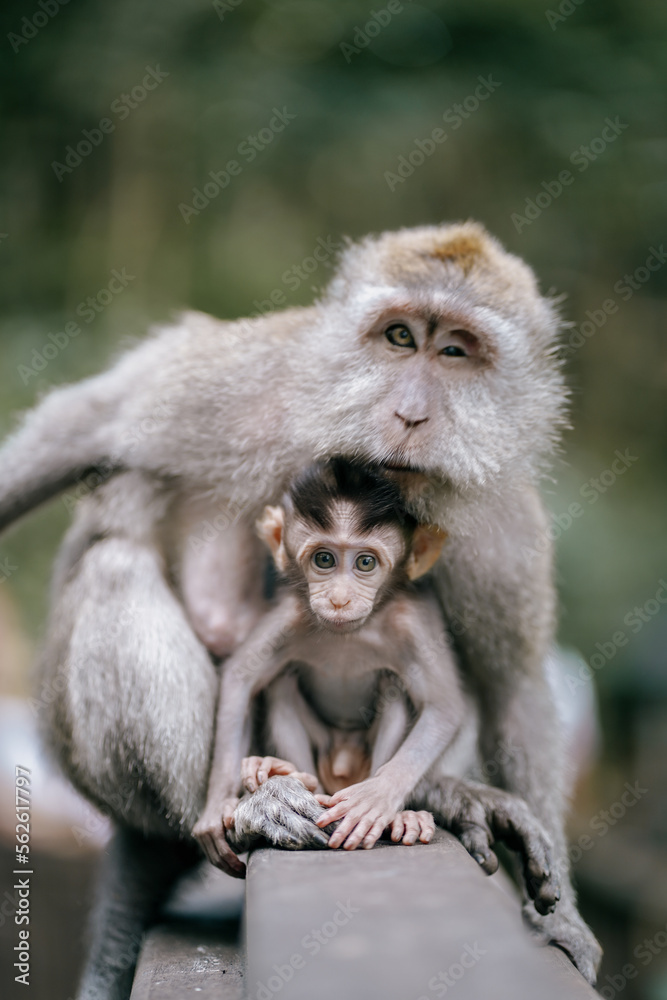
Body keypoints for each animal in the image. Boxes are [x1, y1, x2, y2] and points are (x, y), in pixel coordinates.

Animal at [193, 460, 464, 876]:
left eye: (365, 562)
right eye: (324, 559)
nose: (339, 599)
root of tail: (341, 771)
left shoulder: (411, 621)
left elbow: (444, 707)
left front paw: (377, 798)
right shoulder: (290, 614)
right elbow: (240, 678)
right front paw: (215, 807)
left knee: (393, 687)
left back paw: (395, 816)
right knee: (281, 682)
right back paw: (289, 778)